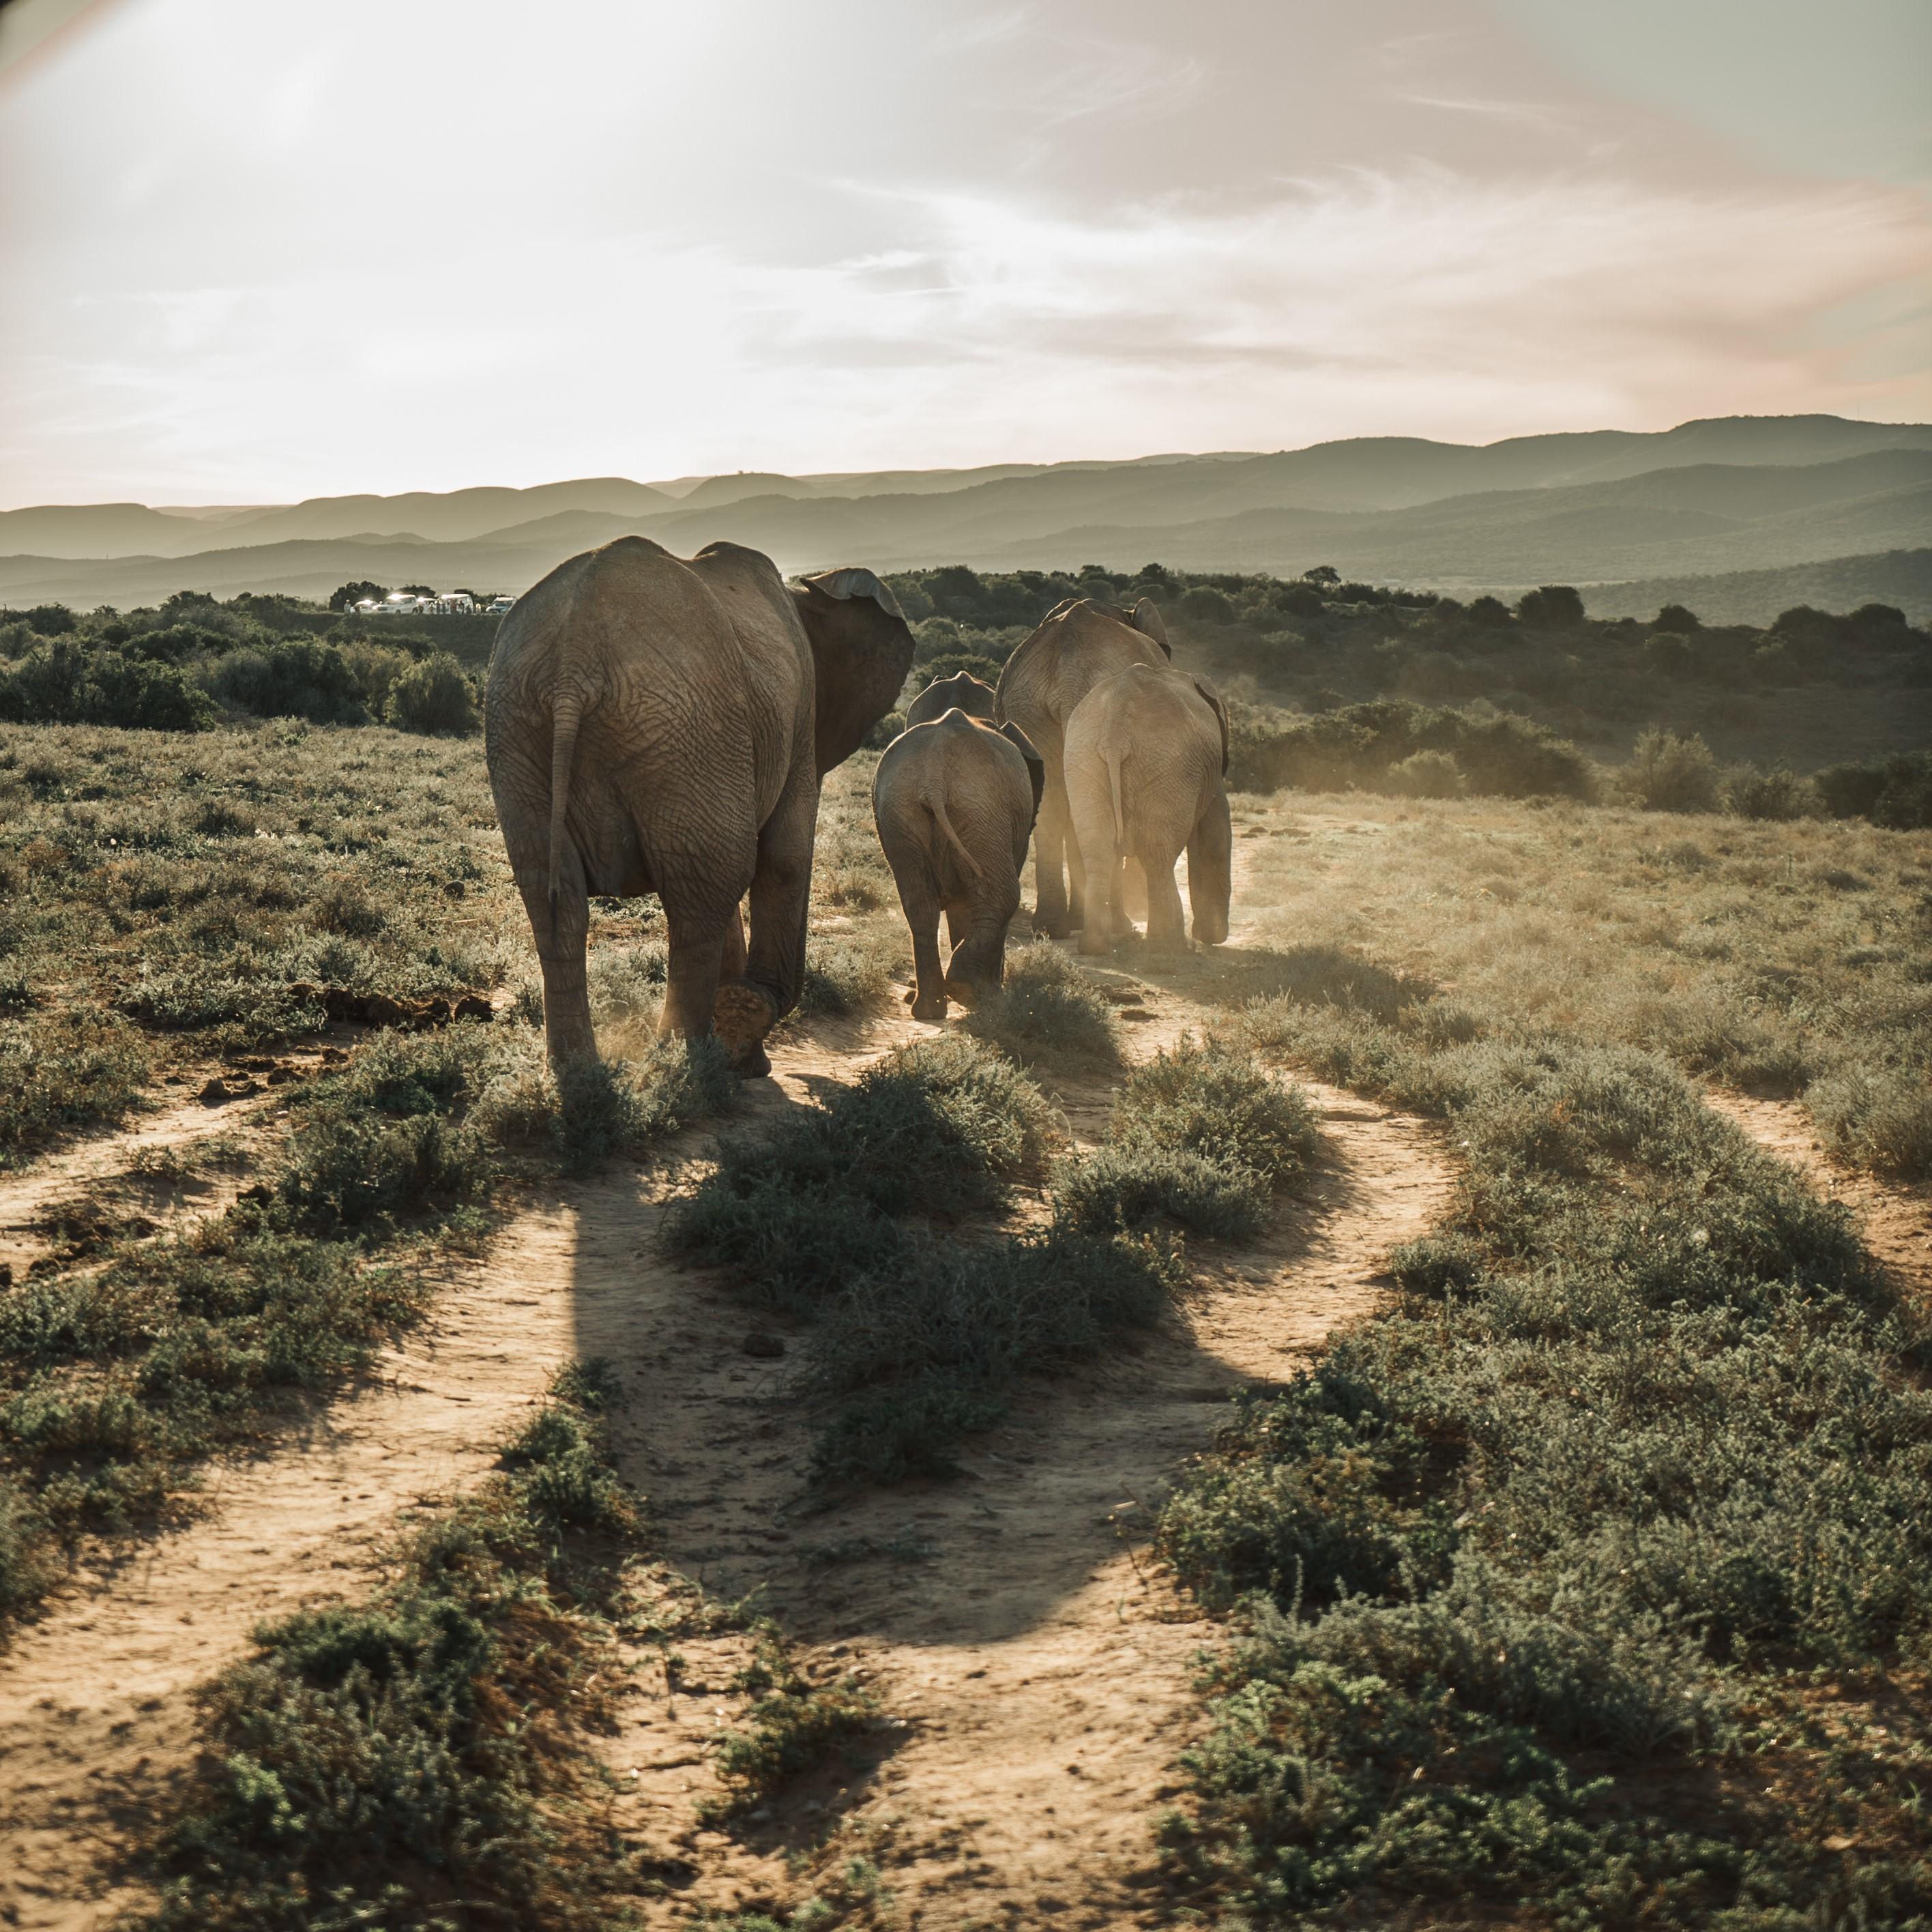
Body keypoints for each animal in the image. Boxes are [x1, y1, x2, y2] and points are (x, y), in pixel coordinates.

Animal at [485, 536, 912, 1073]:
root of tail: (573, 659)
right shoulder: (796, 717)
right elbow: (785, 859)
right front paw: (747, 1039)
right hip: (686, 728)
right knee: (707, 890)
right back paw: (685, 1066)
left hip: (526, 727)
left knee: (557, 896)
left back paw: (580, 1073)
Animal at [872, 709, 1044, 1023]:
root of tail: (934, 778)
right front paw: (992, 995)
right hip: (983, 811)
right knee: (1003, 896)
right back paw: (965, 990)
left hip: (901, 813)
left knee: (920, 906)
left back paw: (930, 1009)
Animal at [1063, 662, 1231, 958]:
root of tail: (1115, 732)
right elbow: (1215, 832)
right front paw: (1213, 937)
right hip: (1168, 766)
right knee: (1158, 854)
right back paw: (1168, 946)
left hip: (1083, 762)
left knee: (1098, 848)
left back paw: (1095, 947)